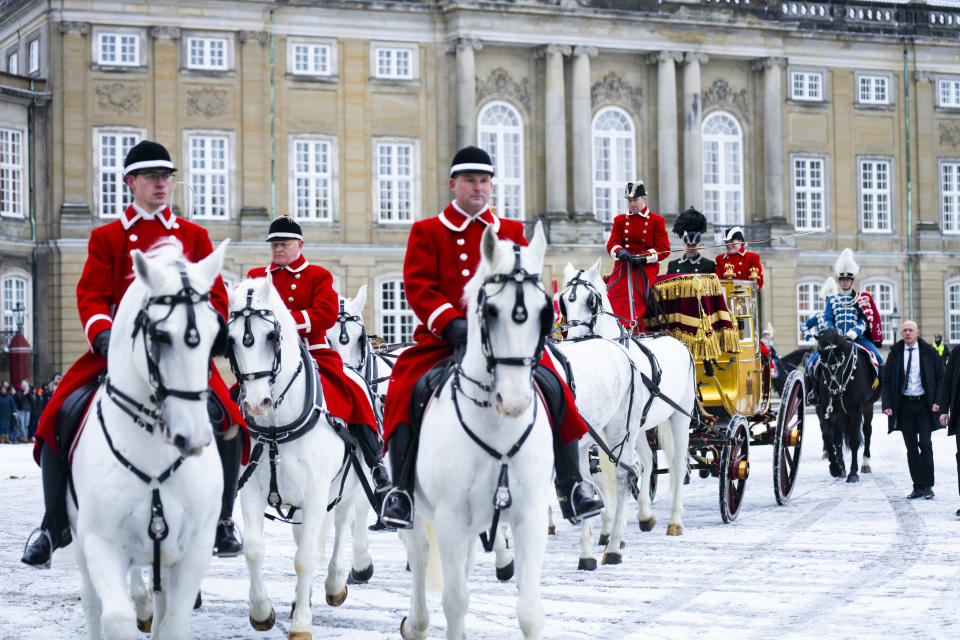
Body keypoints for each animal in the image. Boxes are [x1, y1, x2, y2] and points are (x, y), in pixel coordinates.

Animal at [67, 241, 229, 640]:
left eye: (215, 333)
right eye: (160, 336)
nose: (193, 436)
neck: (154, 453)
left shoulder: (193, 549)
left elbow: (174, 623)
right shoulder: (101, 544)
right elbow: (115, 618)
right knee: (93, 603)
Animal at [229, 278, 372, 640]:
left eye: (271, 336)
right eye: (231, 340)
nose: (257, 403)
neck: (276, 426)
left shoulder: (317, 491)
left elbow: (306, 557)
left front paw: (301, 624)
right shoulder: (251, 489)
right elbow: (254, 548)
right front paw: (262, 611)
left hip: (347, 486)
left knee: (342, 524)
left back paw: (335, 583)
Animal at [402, 222, 556, 636]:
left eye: (545, 311)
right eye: (490, 310)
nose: (514, 401)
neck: (495, 426)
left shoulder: (529, 514)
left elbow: (531, 611)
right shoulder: (450, 517)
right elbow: (455, 601)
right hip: (420, 512)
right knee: (420, 555)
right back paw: (417, 623)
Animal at [560, 258, 692, 560]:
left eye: (590, 300)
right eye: (563, 302)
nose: (573, 338)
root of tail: (676, 340)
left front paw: (614, 537)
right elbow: (605, 473)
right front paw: (608, 530)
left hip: (679, 416)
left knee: (677, 464)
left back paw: (675, 521)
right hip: (640, 426)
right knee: (645, 462)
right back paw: (645, 515)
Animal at [812, 328, 880, 482]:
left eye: (841, 362)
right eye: (822, 363)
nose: (834, 389)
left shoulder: (856, 409)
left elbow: (854, 439)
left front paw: (853, 472)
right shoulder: (824, 409)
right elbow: (828, 436)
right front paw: (835, 468)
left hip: (867, 407)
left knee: (867, 431)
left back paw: (865, 463)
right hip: (839, 413)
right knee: (837, 437)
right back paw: (841, 467)